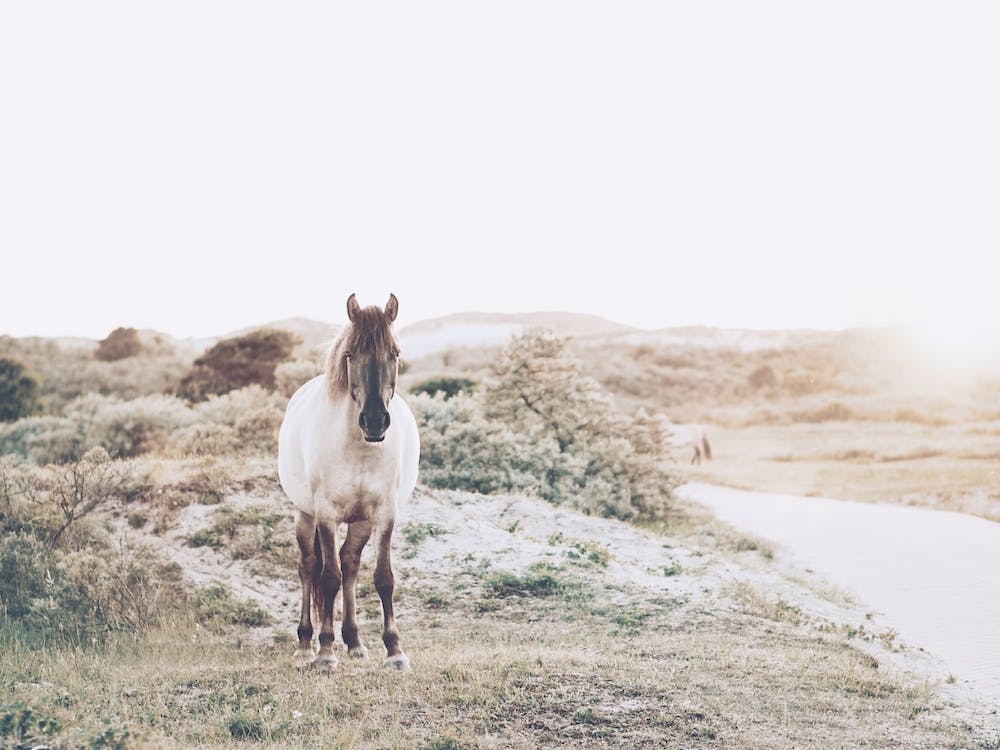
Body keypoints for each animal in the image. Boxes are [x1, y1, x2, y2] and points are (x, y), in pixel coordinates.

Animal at [278, 293, 420, 672]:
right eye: (350, 354)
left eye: (394, 353)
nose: (374, 421)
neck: (360, 447)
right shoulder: (326, 514)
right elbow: (329, 578)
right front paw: (326, 652)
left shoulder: (384, 514)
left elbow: (383, 578)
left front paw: (395, 650)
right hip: (304, 514)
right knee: (310, 567)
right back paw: (306, 645)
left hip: (360, 522)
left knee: (351, 564)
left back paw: (354, 642)